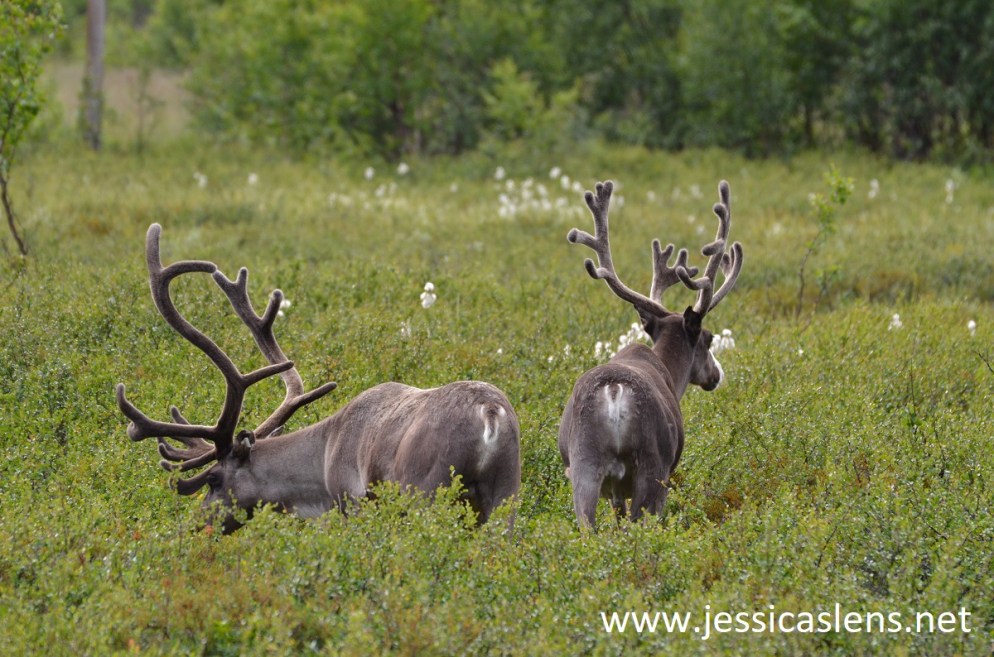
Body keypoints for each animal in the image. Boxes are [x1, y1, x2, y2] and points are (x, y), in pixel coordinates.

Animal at [116, 224, 521, 534]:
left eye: (214, 479)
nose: (197, 525)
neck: (322, 463)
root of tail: (490, 413)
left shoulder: (352, 500)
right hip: (506, 492)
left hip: (426, 490)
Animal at [558, 180, 743, 529]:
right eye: (709, 338)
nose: (717, 374)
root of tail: (614, 392)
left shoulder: (614, 490)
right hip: (653, 467)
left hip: (582, 463)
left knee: (587, 525)